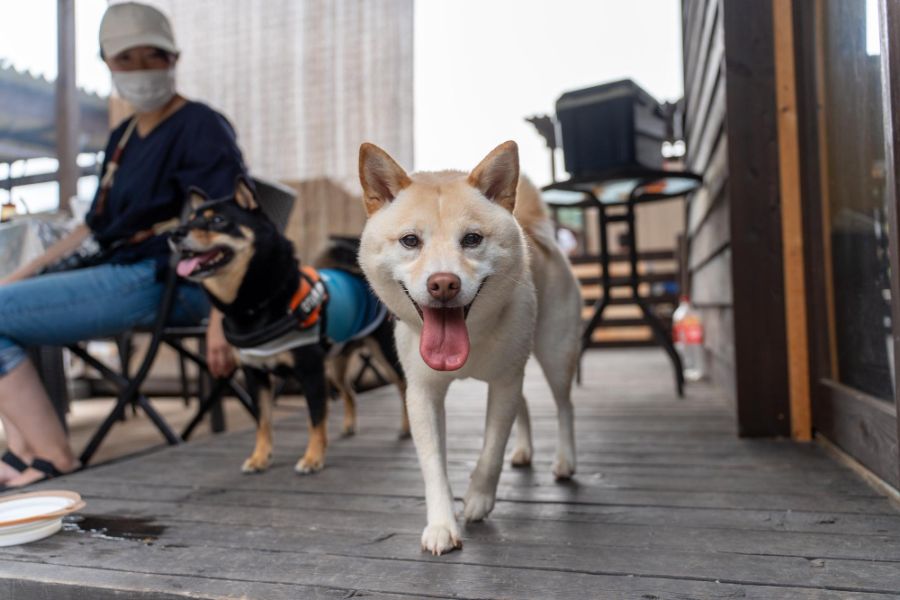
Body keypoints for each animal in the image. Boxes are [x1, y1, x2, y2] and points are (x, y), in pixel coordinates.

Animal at [170, 178, 408, 474]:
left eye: (218, 220)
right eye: (190, 220)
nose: (175, 233)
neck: (255, 304)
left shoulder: (310, 371)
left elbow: (315, 419)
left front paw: (313, 459)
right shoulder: (255, 374)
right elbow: (263, 422)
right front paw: (260, 458)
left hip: (385, 357)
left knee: (403, 389)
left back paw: (406, 430)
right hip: (336, 365)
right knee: (350, 392)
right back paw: (349, 427)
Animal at [356, 139, 580, 552]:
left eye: (472, 239)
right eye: (410, 241)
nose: (443, 283)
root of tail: (535, 229)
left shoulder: (504, 382)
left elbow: (491, 450)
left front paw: (478, 499)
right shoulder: (422, 393)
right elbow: (433, 465)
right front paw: (442, 525)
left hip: (555, 354)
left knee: (564, 406)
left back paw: (565, 461)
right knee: (526, 405)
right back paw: (523, 452)